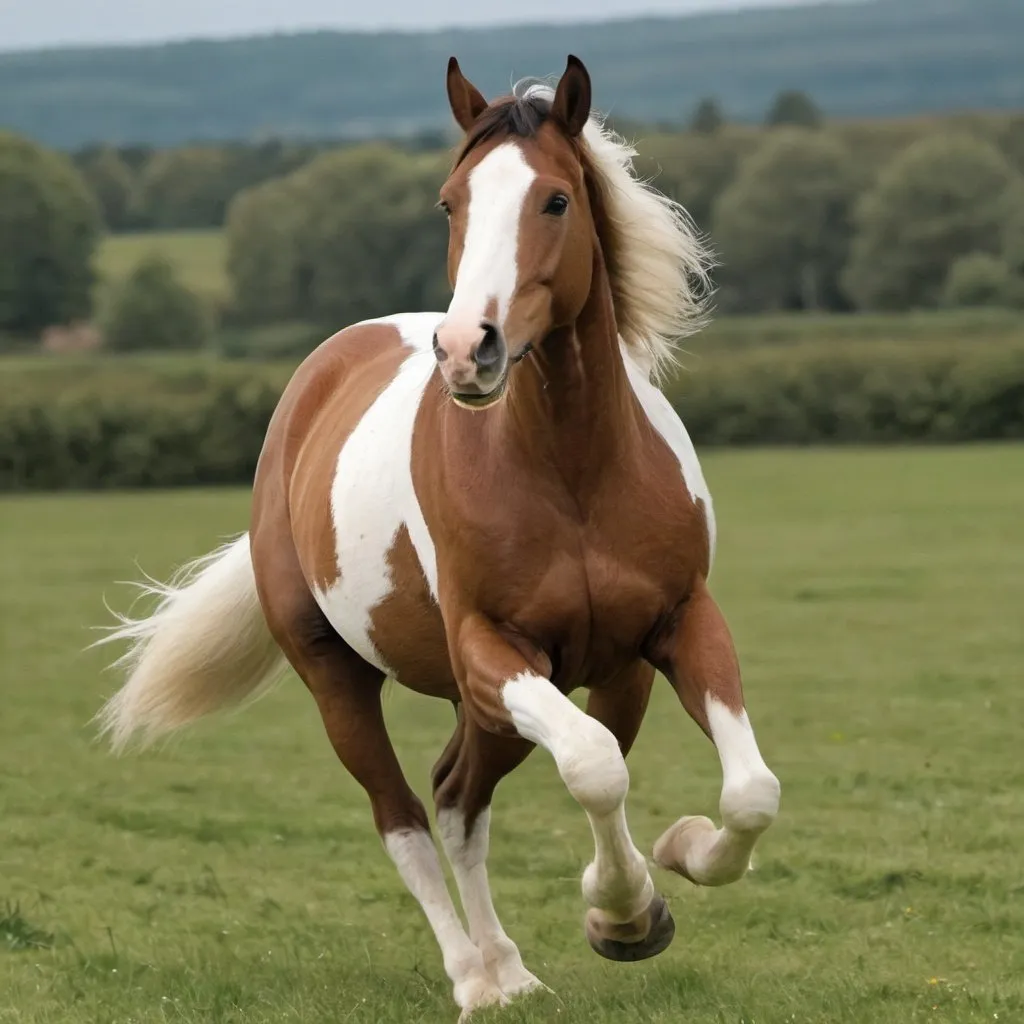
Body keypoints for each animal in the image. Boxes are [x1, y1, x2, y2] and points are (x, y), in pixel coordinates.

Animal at [97, 54, 782, 1015]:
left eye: (556, 200)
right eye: (451, 202)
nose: (467, 351)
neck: (571, 471)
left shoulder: (663, 634)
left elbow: (746, 788)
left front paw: (664, 871)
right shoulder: (494, 651)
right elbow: (595, 766)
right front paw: (623, 910)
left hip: (494, 702)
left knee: (459, 795)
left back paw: (512, 971)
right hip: (342, 677)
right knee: (407, 818)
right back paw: (473, 978)